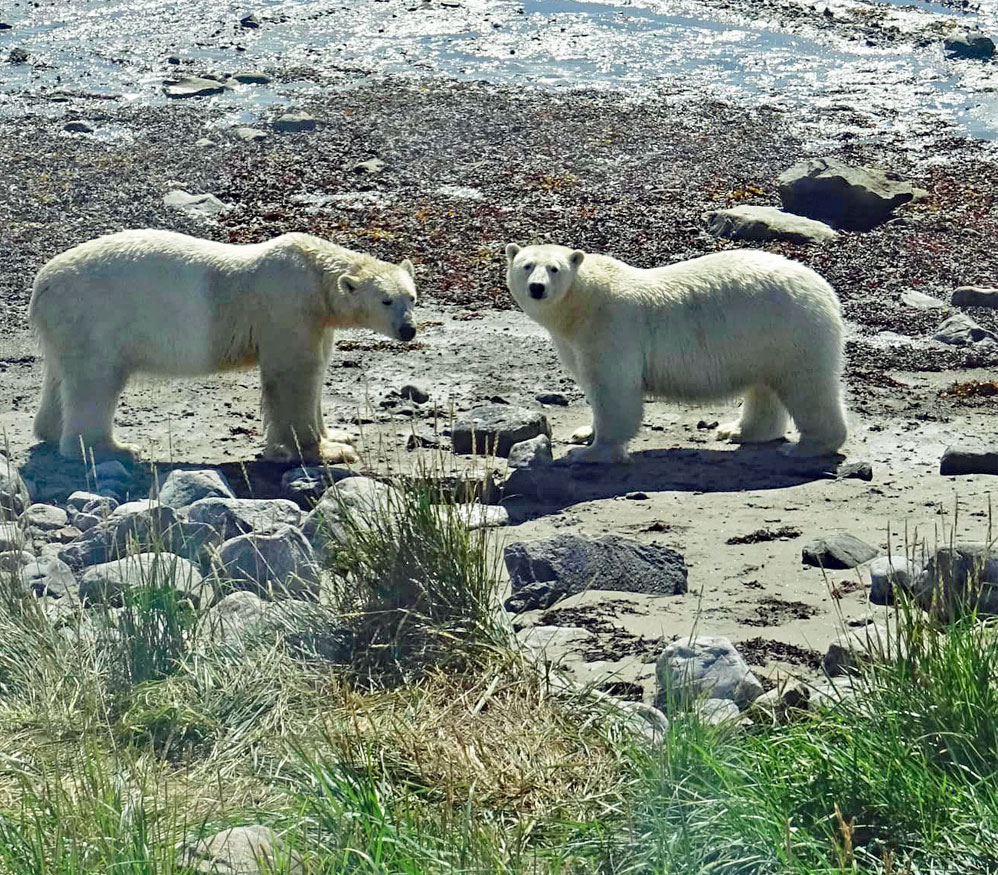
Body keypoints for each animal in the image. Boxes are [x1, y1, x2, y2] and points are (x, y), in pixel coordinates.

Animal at [28, 231, 418, 466]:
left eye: (411, 297)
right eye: (386, 300)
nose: (408, 329)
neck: (312, 274)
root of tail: (41, 283)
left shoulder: (318, 322)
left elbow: (319, 368)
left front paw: (336, 433)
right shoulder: (286, 306)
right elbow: (294, 374)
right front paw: (325, 451)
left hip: (66, 326)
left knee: (61, 378)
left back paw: (51, 431)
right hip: (95, 316)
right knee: (96, 381)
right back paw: (113, 448)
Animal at [504, 245, 848, 466]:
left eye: (554, 269)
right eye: (526, 266)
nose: (537, 288)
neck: (582, 304)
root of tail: (826, 291)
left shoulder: (610, 326)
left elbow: (613, 389)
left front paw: (591, 453)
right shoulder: (573, 340)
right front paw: (583, 433)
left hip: (791, 329)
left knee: (806, 386)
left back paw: (807, 447)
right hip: (764, 338)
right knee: (765, 386)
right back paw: (737, 430)